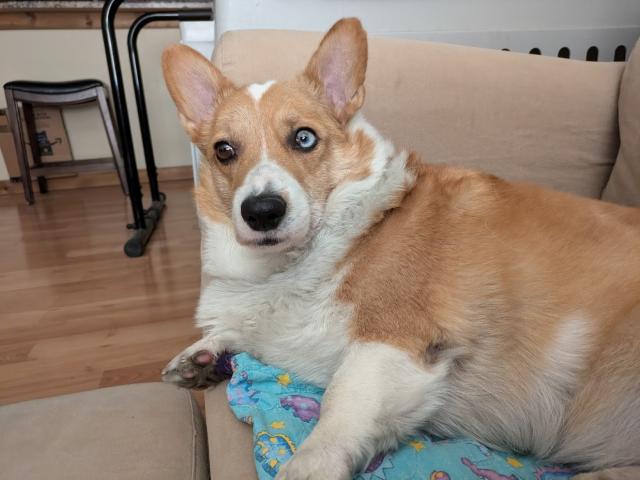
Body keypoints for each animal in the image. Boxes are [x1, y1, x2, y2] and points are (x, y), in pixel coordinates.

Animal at [161, 17, 640, 480]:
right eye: (224, 150)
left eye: (304, 138)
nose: (261, 212)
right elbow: (244, 331)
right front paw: (202, 355)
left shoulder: (392, 343)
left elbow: (336, 410)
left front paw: (306, 466)